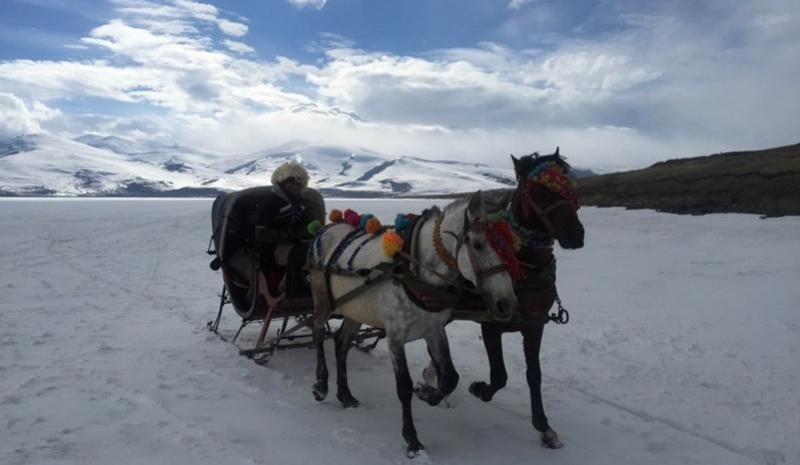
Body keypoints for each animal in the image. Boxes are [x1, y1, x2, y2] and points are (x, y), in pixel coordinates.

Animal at [454, 147, 584, 448]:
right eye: (539, 189)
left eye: (570, 186)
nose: (576, 234)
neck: (522, 267)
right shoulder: (490, 324)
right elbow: (499, 375)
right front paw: (480, 389)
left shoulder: (534, 324)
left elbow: (533, 374)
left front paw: (543, 426)